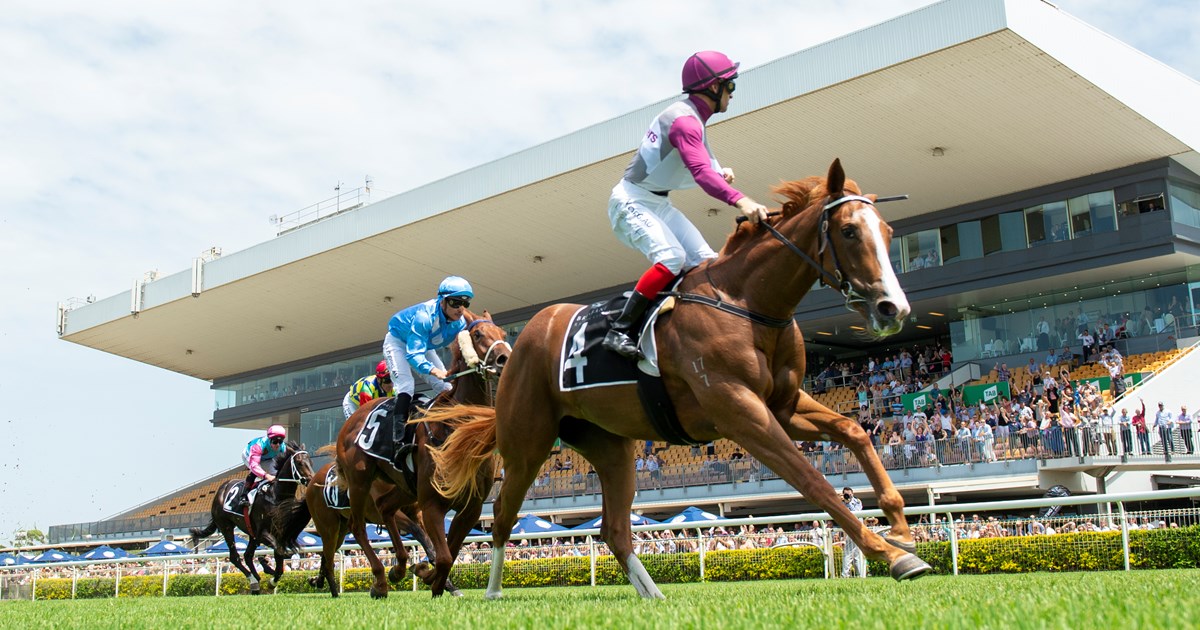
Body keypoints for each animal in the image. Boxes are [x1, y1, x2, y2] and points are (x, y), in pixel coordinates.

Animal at [188, 439, 314, 592]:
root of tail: (221, 490)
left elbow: (279, 557)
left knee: (247, 555)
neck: (275, 496)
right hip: (226, 526)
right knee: (235, 557)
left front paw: (272, 578)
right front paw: (269, 571)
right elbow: (280, 551)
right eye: (300, 462)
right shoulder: (262, 533)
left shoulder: (277, 533)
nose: (311, 480)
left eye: (310, 462)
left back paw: (257, 580)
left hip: (250, 532)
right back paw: (253, 579)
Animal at [333, 307, 511, 595]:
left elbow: (450, 553)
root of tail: (351, 423)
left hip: (403, 488)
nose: (505, 358)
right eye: (477, 334)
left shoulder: (471, 508)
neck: (456, 428)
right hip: (360, 481)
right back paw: (380, 580)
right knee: (357, 526)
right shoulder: (431, 503)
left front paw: (431, 578)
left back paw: (398, 568)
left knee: (385, 507)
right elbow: (444, 555)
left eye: (503, 334)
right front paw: (431, 577)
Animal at [427, 158, 931, 600]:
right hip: (527, 442)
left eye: (888, 232)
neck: (745, 303)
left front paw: (901, 528)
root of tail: (526, 338)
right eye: (849, 230)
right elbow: (813, 481)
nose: (893, 308)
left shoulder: (783, 405)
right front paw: (892, 553)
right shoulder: (741, 413)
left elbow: (853, 431)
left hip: (611, 447)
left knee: (613, 527)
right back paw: (490, 590)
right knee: (503, 514)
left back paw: (652, 592)